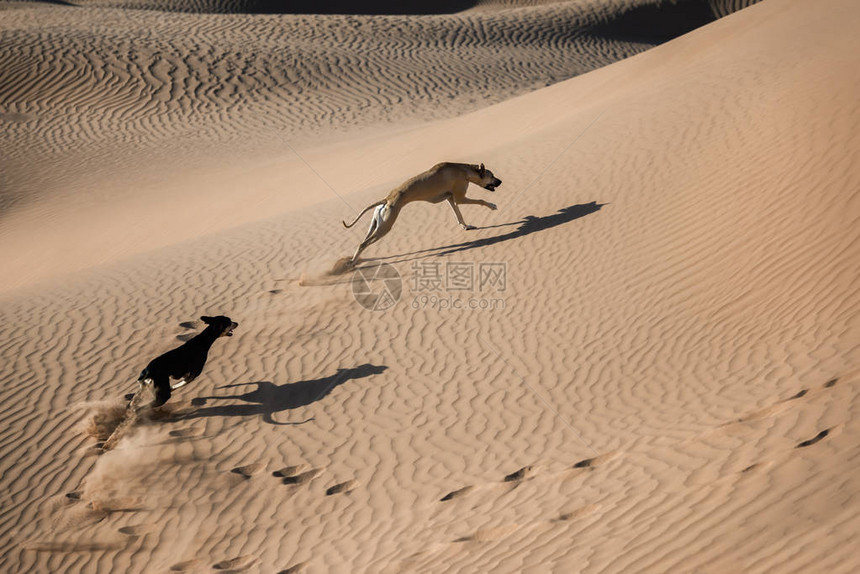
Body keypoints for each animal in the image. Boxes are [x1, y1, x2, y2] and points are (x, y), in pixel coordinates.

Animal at [342, 163, 504, 264]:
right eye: (492, 175)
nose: (500, 181)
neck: (464, 170)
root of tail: (387, 199)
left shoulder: (451, 199)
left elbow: (458, 215)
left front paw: (466, 226)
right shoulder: (460, 198)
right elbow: (481, 200)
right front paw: (492, 205)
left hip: (376, 224)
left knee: (364, 239)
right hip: (385, 227)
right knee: (362, 244)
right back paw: (353, 263)